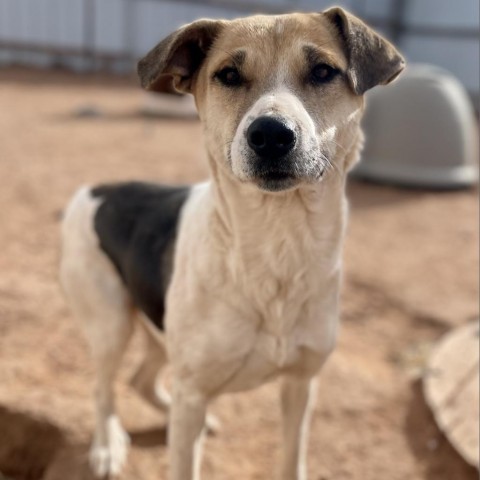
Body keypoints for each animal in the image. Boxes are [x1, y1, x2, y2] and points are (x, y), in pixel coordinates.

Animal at [60, 5, 404, 478]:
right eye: (228, 75)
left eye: (322, 71)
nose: (271, 134)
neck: (277, 247)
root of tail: (97, 188)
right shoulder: (192, 389)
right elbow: (182, 461)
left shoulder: (301, 383)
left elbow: (291, 458)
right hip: (110, 323)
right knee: (103, 387)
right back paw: (107, 446)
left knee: (140, 380)